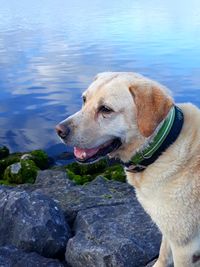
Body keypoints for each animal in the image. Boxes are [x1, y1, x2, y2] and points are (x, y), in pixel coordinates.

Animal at [55, 71, 200, 267]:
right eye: (84, 99)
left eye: (106, 109)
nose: (59, 130)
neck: (162, 147)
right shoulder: (168, 230)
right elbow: (163, 253)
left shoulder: (185, 246)